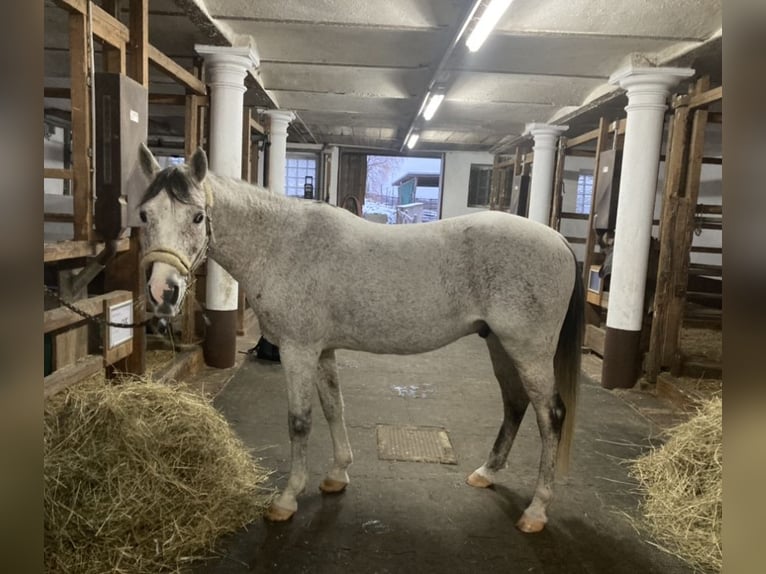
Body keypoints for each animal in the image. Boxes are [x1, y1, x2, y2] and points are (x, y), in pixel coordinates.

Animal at [138, 145, 584, 536]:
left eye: (198, 217)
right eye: (144, 215)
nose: (164, 291)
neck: (283, 245)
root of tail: (559, 241)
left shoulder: (298, 350)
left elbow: (300, 422)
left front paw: (286, 499)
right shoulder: (322, 351)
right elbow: (335, 408)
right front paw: (337, 475)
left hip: (530, 352)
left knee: (550, 416)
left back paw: (536, 511)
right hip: (500, 346)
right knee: (515, 404)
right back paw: (486, 473)